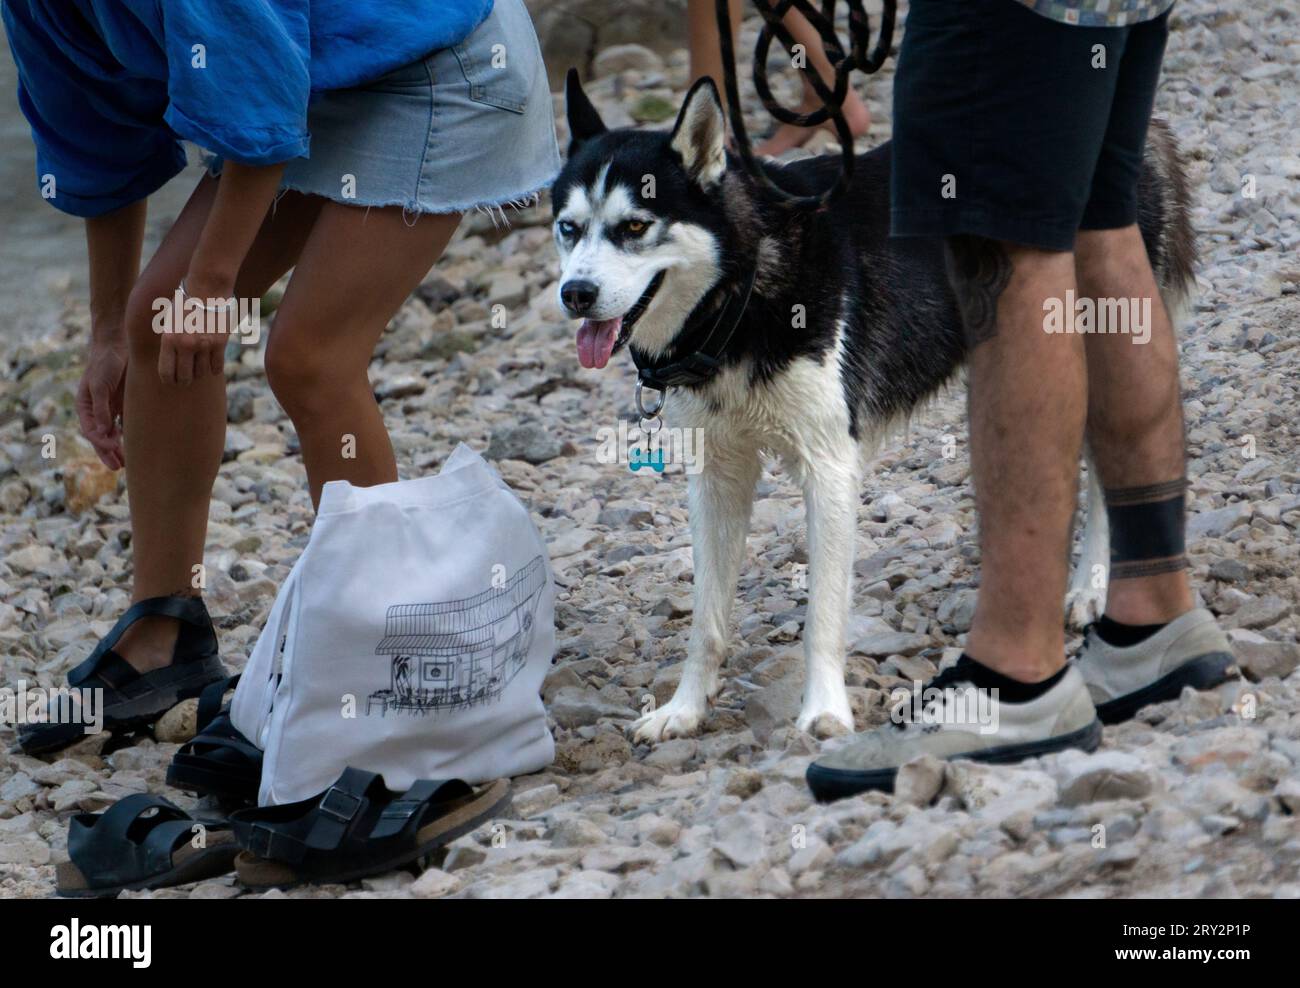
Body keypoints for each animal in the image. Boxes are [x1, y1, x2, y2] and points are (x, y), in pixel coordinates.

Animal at [553, 73, 1190, 738]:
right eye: (568, 228)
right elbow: (706, 618)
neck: (742, 292)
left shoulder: (831, 469)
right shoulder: (716, 477)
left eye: (634, 227)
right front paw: (684, 708)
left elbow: (822, 618)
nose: (576, 294)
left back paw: (1095, 587)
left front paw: (823, 712)